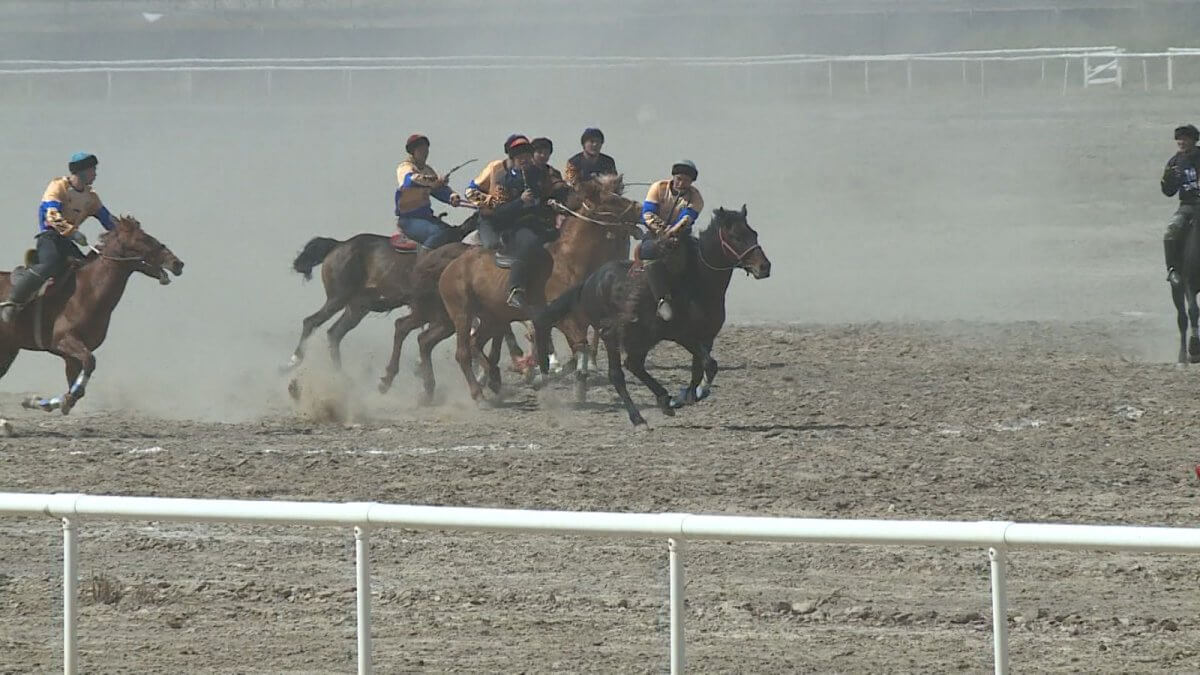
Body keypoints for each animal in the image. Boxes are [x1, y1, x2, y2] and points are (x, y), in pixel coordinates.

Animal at [0, 214, 184, 415]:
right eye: (143, 239)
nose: (177, 263)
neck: (85, 291)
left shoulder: (71, 356)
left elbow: (78, 387)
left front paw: (37, 401)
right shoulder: (64, 340)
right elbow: (90, 362)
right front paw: (59, 400)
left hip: (8, 350)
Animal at [436, 176, 643, 401]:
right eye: (611, 200)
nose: (639, 208)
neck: (568, 262)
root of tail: (450, 268)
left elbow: (577, 350)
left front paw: (572, 383)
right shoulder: (561, 318)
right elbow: (577, 346)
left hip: (492, 318)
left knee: (475, 344)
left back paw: (493, 378)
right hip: (463, 315)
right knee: (463, 352)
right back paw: (479, 393)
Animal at [532, 206, 768, 425]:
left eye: (754, 233)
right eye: (736, 237)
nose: (765, 266)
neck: (696, 282)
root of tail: (590, 282)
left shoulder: (706, 337)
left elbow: (699, 370)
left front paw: (685, 396)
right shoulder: (682, 334)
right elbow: (710, 365)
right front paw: (689, 395)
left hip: (641, 338)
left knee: (634, 365)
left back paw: (664, 400)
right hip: (612, 334)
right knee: (617, 374)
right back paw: (638, 418)